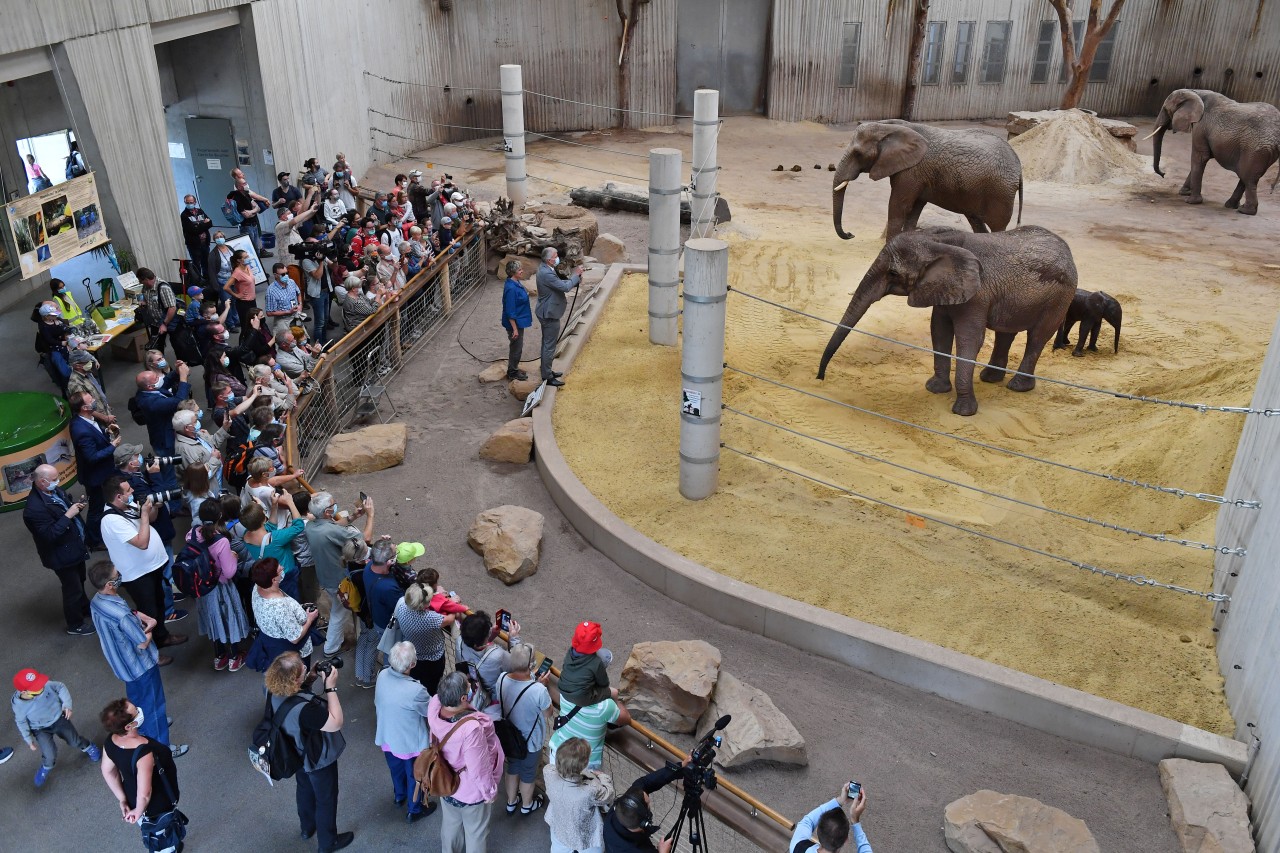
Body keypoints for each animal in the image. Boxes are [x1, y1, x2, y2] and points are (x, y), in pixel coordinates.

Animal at [814, 224, 1075, 412]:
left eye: (893, 273)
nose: (820, 377)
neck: (939, 242)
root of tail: (1068, 251)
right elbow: (939, 330)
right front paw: (935, 389)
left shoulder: (977, 294)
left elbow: (970, 338)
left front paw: (963, 411)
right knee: (1006, 333)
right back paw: (990, 379)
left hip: (1060, 298)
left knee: (1037, 337)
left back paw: (1018, 387)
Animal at [834, 118, 1024, 242]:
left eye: (857, 153)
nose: (851, 234)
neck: (888, 127)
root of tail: (1019, 166)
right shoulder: (917, 174)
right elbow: (914, 209)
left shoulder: (912, 171)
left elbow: (898, 206)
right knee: (976, 221)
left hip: (1001, 192)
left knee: (998, 226)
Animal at [1152, 88, 1280, 213]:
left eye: (1165, 109)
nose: (1163, 174)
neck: (1195, 92)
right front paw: (1184, 192)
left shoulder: (1201, 126)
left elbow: (1199, 157)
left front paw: (1191, 201)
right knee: (1246, 176)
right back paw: (1232, 206)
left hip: (1255, 150)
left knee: (1248, 179)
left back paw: (1245, 211)